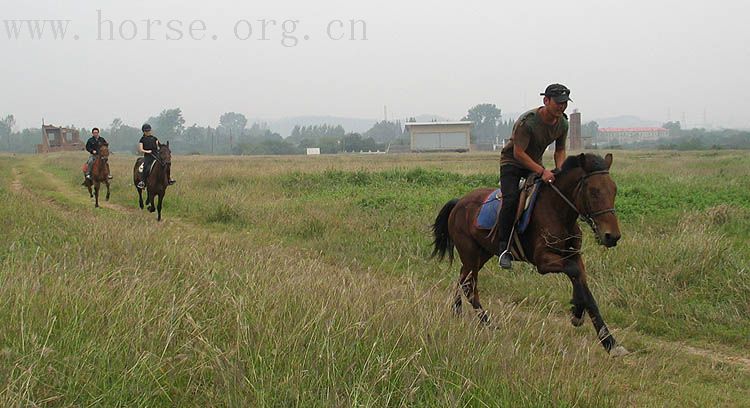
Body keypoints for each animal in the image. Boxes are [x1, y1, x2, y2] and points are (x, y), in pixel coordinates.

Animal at [432, 153, 632, 356]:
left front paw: (609, 341)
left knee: (462, 279)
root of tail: (459, 203)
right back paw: (488, 324)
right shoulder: (543, 261)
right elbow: (574, 272)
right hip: (470, 254)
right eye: (593, 191)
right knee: (469, 286)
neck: (558, 210)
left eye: (614, 190)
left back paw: (457, 312)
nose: (612, 236)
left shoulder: (574, 256)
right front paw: (577, 312)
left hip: (481, 254)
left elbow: (586, 290)